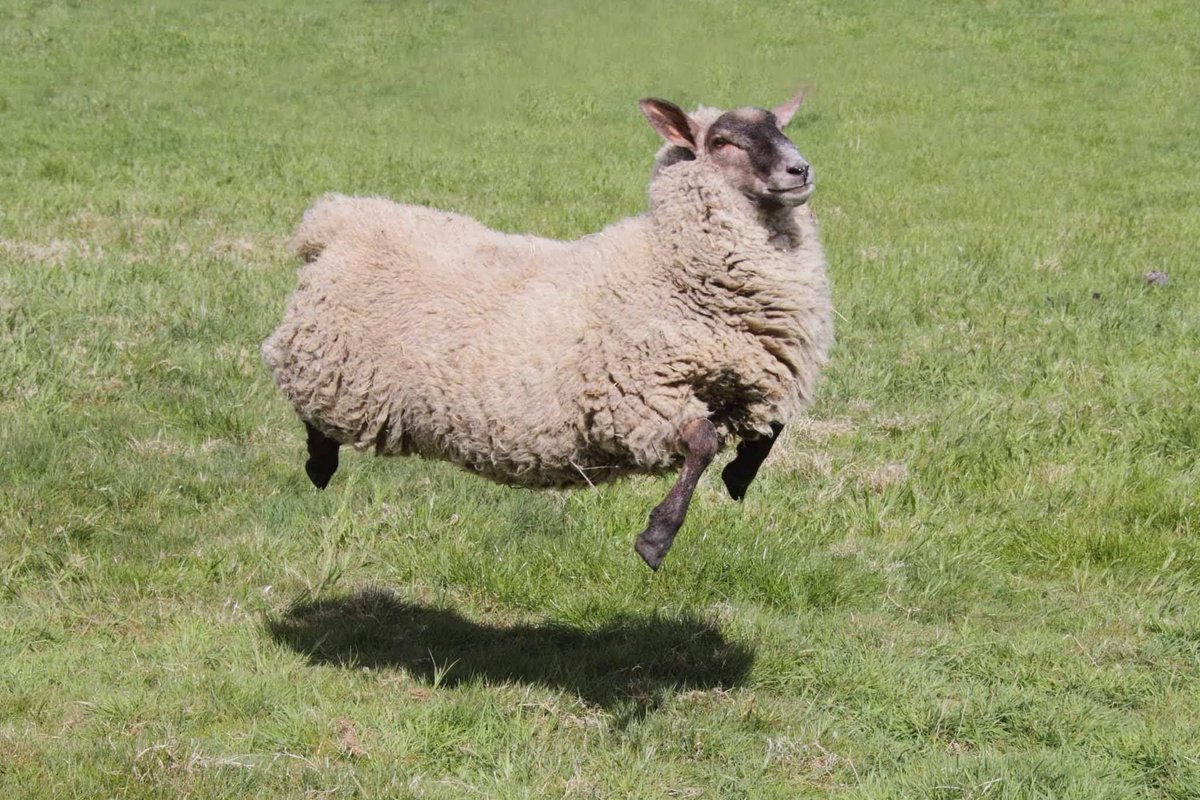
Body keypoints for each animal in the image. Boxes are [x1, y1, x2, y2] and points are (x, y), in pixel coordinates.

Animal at [262, 90, 833, 570]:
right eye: (721, 142)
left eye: (780, 127)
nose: (800, 169)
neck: (669, 266)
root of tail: (334, 220)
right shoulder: (636, 398)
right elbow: (703, 442)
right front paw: (657, 537)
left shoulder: (751, 373)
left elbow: (771, 427)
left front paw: (739, 478)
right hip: (331, 363)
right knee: (307, 407)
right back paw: (319, 467)